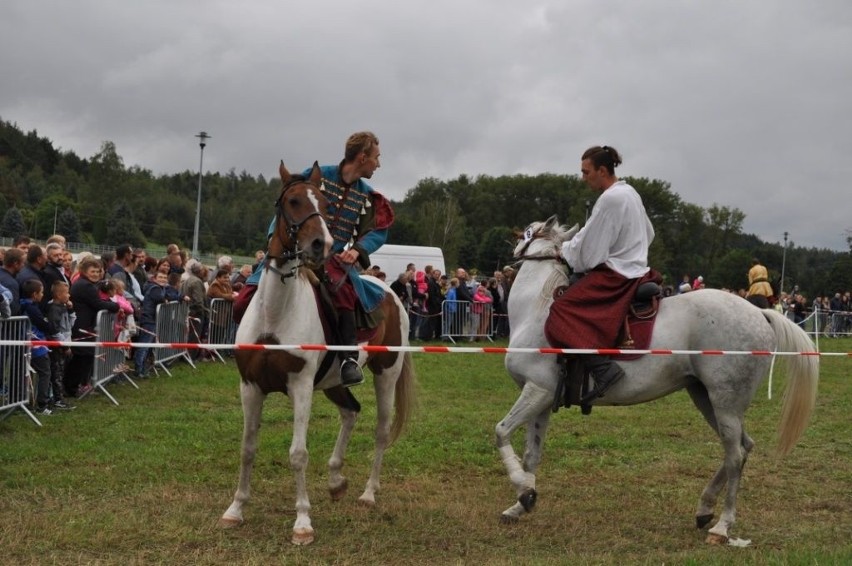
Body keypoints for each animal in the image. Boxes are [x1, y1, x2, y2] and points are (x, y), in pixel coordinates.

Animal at [220, 162, 416, 548]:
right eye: (292, 201)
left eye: (324, 205)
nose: (320, 244)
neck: (276, 313)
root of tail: (391, 292)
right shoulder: (250, 386)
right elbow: (247, 448)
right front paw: (235, 509)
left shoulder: (300, 386)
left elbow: (298, 454)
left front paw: (302, 523)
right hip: (334, 381)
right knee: (351, 412)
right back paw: (336, 480)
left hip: (385, 374)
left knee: (381, 430)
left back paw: (368, 493)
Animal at [500, 216, 820, 544]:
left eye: (527, 234)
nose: (510, 249)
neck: (537, 310)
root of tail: (759, 312)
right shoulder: (542, 399)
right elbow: (532, 454)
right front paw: (522, 501)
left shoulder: (537, 391)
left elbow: (501, 432)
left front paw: (522, 491)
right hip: (706, 397)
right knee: (744, 448)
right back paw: (704, 508)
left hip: (725, 401)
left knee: (735, 455)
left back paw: (722, 526)